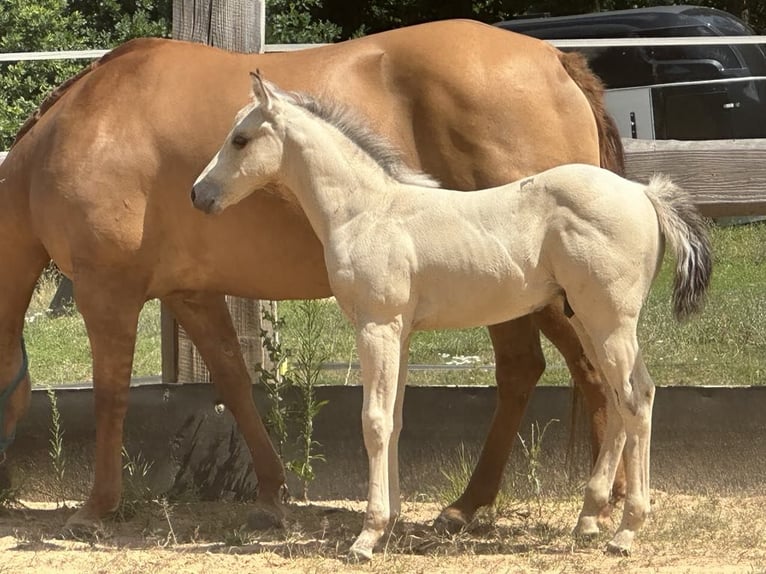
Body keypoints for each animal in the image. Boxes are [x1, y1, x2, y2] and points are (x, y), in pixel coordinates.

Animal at [0, 19, 624, 532]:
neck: (84, 126)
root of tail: (555, 60)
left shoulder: (107, 291)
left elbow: (111, 396)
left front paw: (95, 509)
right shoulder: (189, 293)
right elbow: (234, 383)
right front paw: (272, 496)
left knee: (589, 373)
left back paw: (597, 505)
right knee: (530, 370)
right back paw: (481, 505)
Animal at [191, 72, 712, 559]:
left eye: (240, 139)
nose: (199, 195)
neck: (367, 211)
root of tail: (645, 195)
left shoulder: (377, 326)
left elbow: (374, 421)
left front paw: (367, 536)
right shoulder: (400, 333)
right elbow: (395, 419)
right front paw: (391, 523)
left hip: (609, 321)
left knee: (635, 400)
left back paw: (625, 531)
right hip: (589, 320)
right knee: (621, 396)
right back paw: (587, 519)